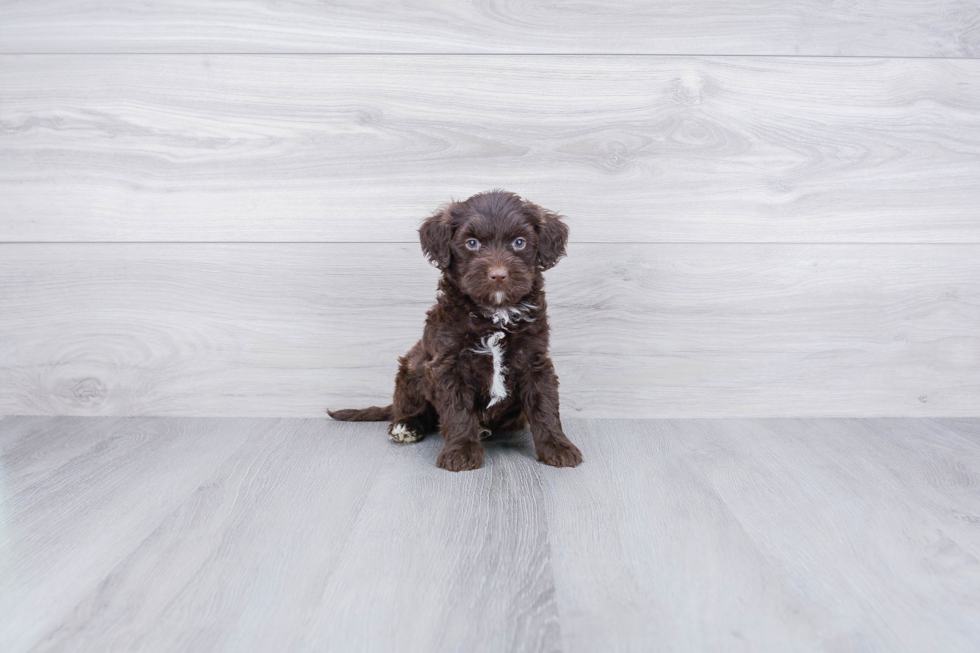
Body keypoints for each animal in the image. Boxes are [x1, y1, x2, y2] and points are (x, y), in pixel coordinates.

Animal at [330, 186, 580, 472]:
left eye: (520, 242)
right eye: (472, 243)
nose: (498, 275)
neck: (495, 313)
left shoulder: (534, 359)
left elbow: (544, 406)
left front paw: (558, 446)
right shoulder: (449, 363)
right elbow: (458, 409)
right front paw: (460, 451)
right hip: (412, 366)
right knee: (412, 409)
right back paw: (407, 426)